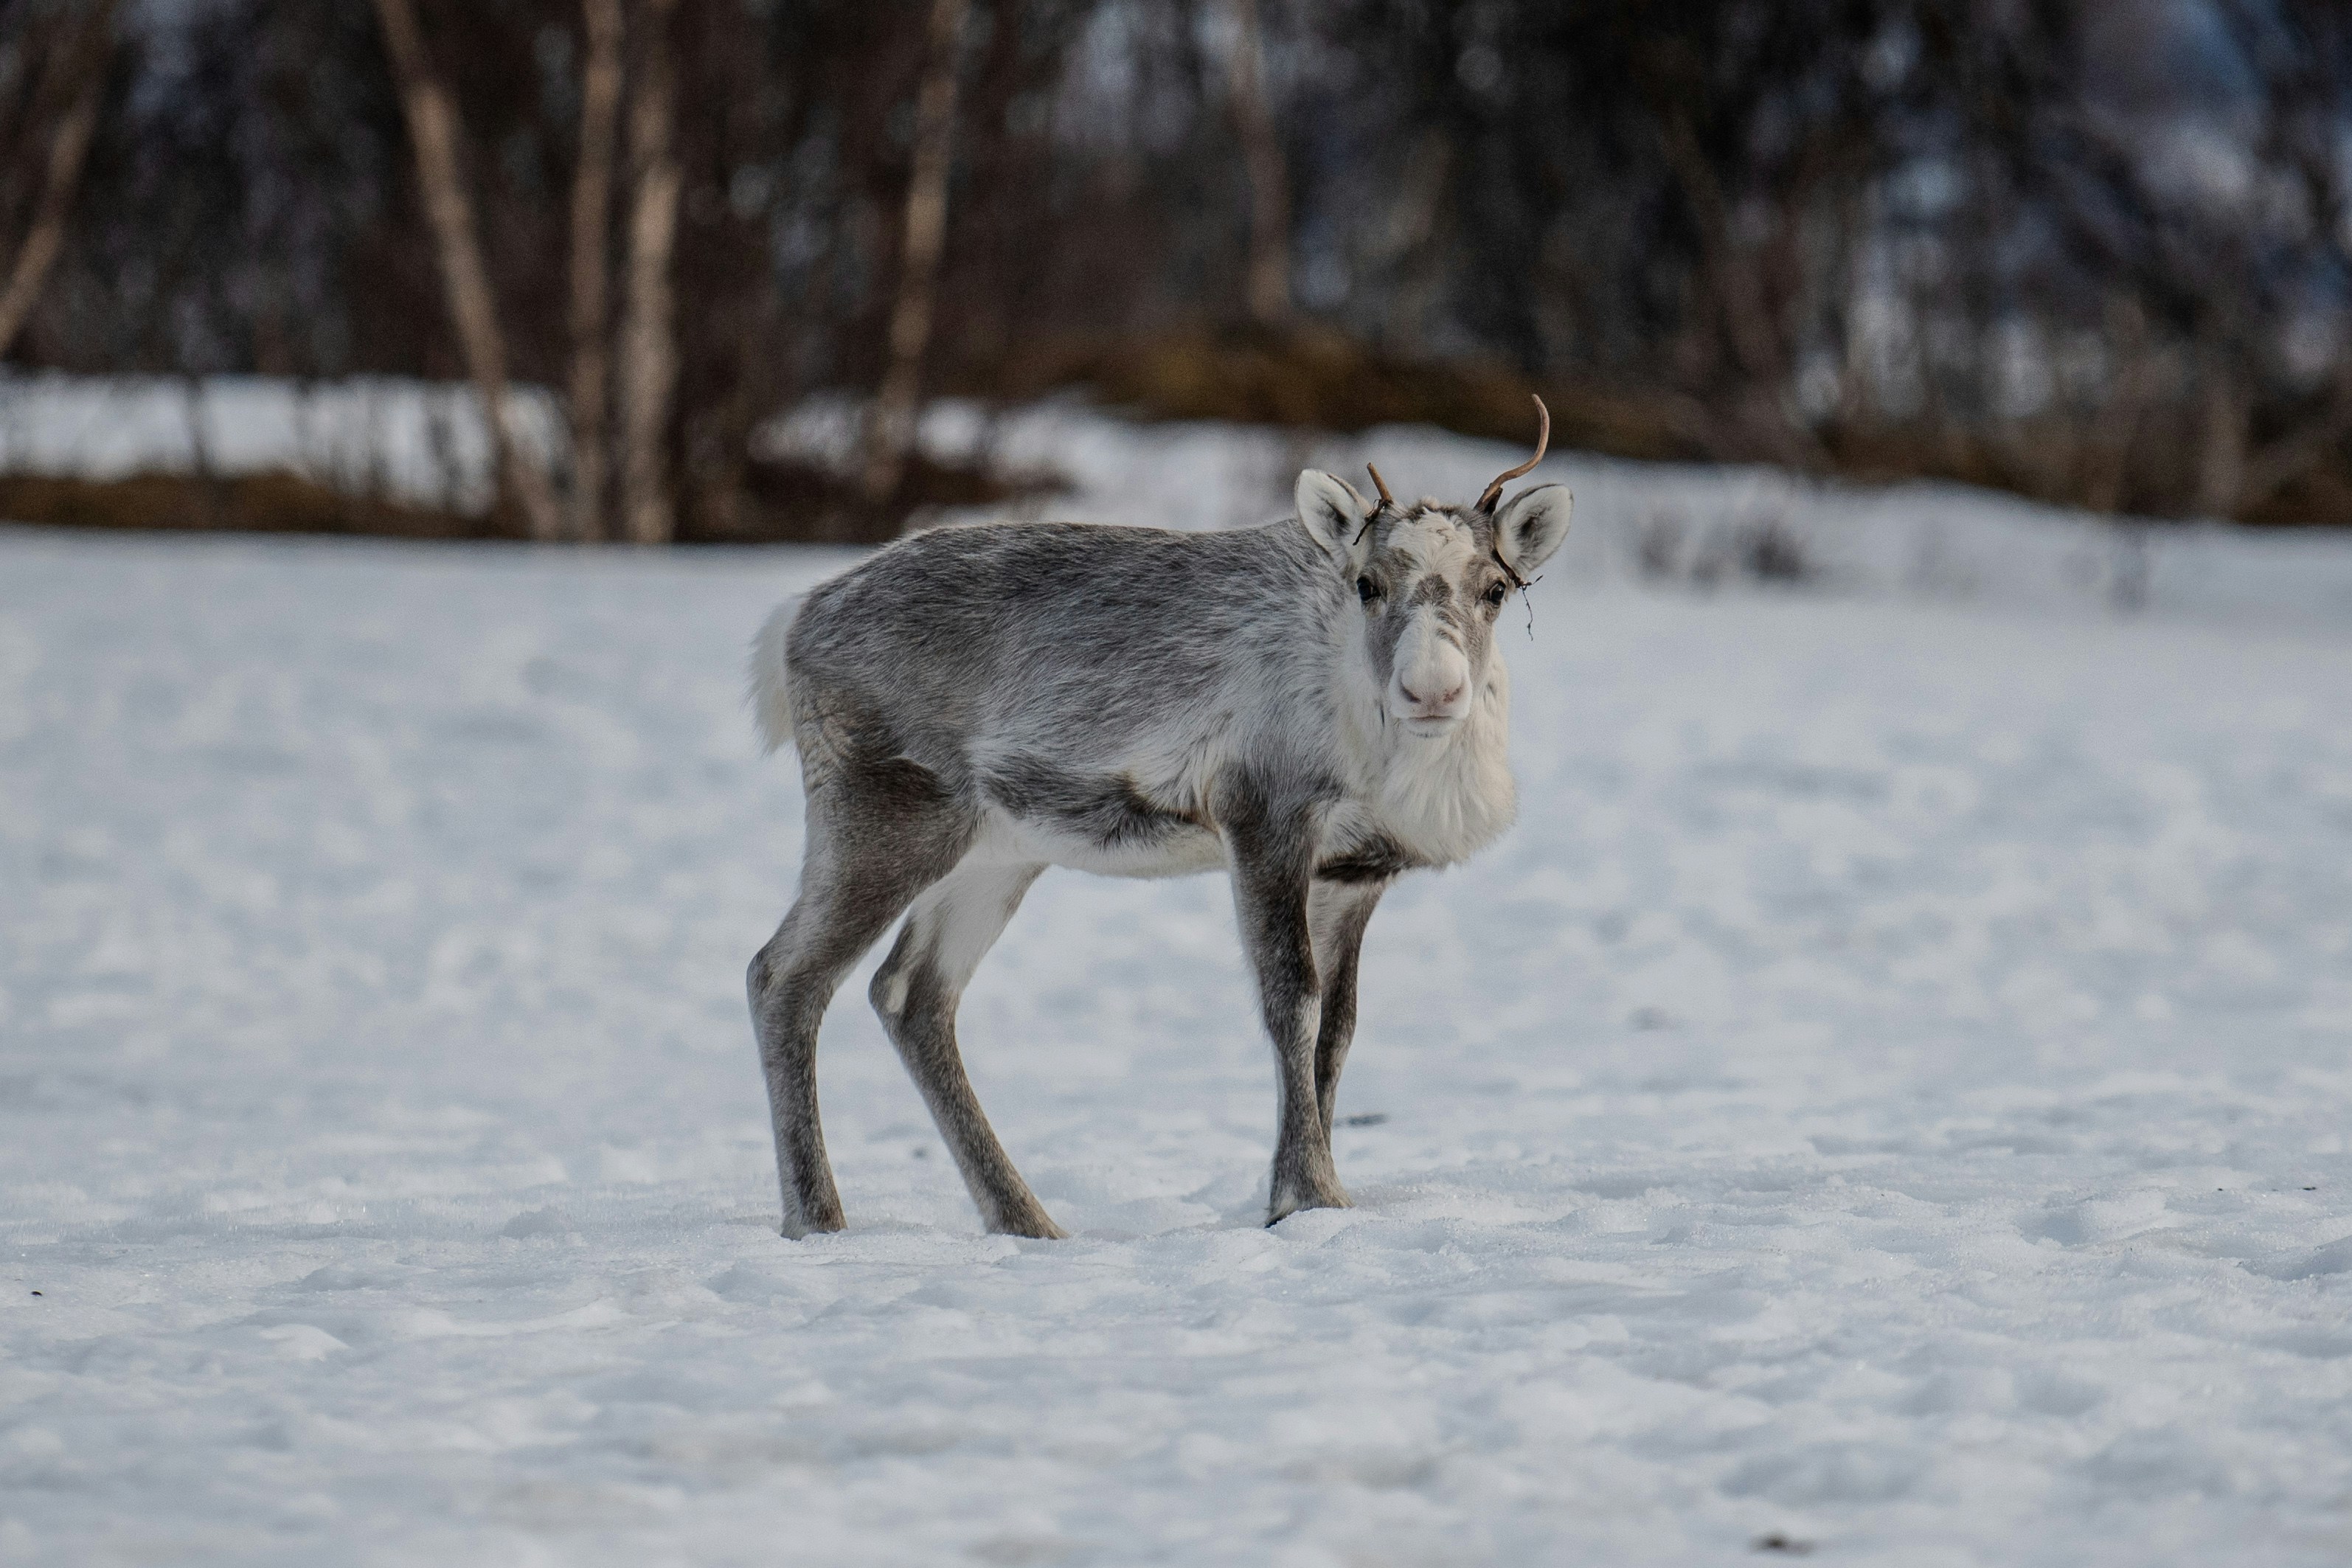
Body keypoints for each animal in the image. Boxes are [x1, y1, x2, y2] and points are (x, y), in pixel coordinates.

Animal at [745, 401, 1572, 1237]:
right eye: (1367, 584)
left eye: (1494, 588)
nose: (1431, 690)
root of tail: (794, 619)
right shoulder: (1264, 824)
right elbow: (1292, 1003)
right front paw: (1309, 1194)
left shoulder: (1352, 873)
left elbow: (1336, 1031)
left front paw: (1306, 1195)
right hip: (883, 818)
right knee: (783, 976)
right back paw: (819, 1218)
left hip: (995, 855)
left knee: (910, 995)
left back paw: (1026, 1219)